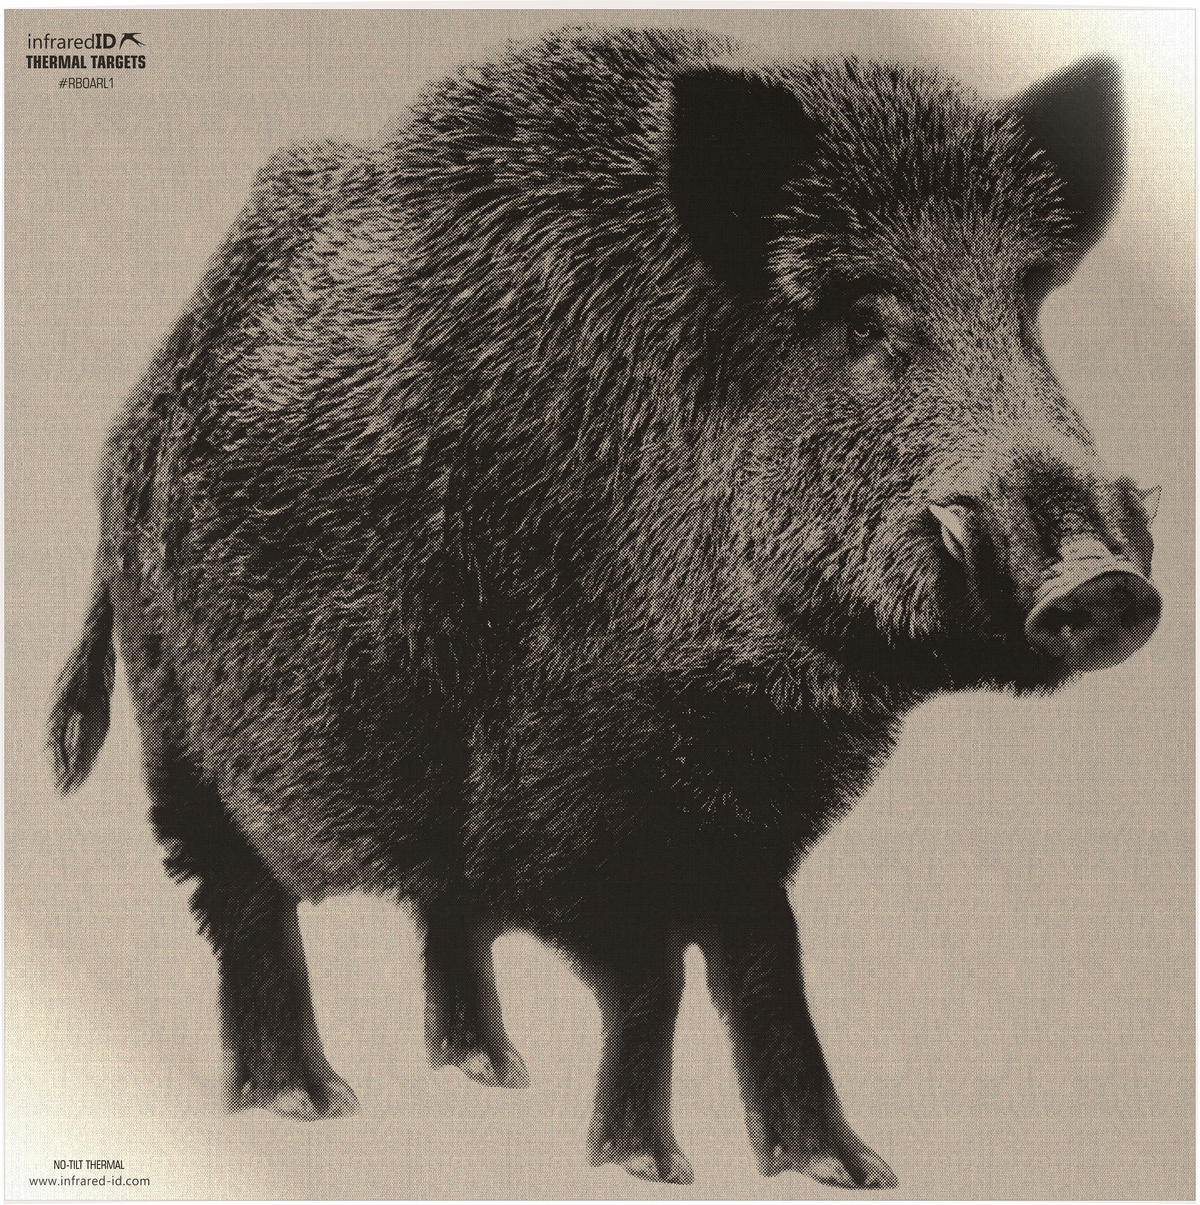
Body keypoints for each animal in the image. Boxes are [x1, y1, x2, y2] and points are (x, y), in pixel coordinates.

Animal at [48, 28, 1161, 1189]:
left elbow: (765, 956)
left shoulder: (748, 808)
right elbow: (652, 973)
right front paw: (647, 1164)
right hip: (178, 715)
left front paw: (846, 1170)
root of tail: (134, 420)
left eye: (1027, 311)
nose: (1100, 581)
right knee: (241, 900)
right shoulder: (574, 792)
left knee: (440, 909)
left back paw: (492, 1070)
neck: (744, 692)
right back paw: (307, 1101)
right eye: (863, 317)